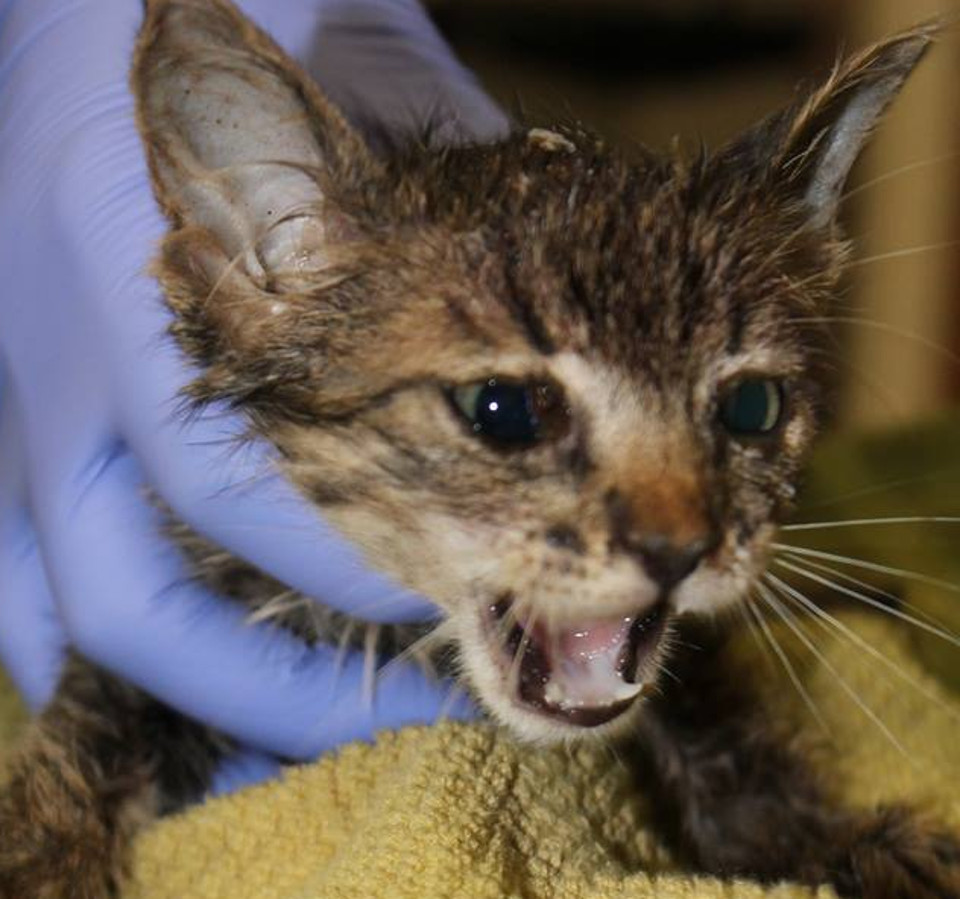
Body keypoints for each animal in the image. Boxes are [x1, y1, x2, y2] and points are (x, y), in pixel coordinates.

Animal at [1, 1, 960, 899]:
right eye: (505, 411)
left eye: (753, 408)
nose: (681, 548)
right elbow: (88, 732)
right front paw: (43, 857)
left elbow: (725, 736)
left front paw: (824, 839)